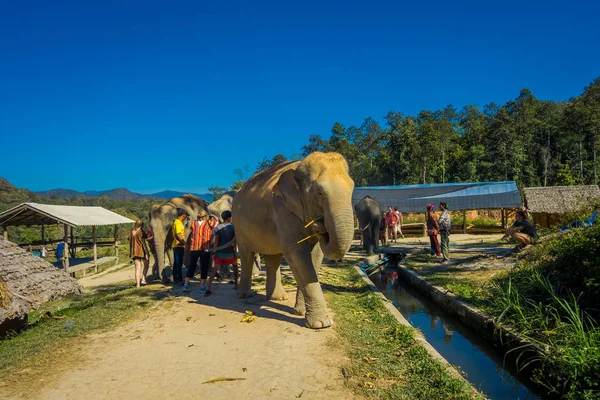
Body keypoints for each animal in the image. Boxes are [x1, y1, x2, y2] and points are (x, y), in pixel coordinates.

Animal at [233, 152, 356, 330]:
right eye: (319, 193)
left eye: (352, 189)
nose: (320, 224)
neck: (298, 167)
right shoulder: (282, 208)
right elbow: (296, 253)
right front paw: (321, 324)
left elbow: (315, 256)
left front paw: (300, 312)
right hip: (239, 225)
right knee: (247, 255)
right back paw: (244, 296)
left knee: (273, 257)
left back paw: (277, 298)